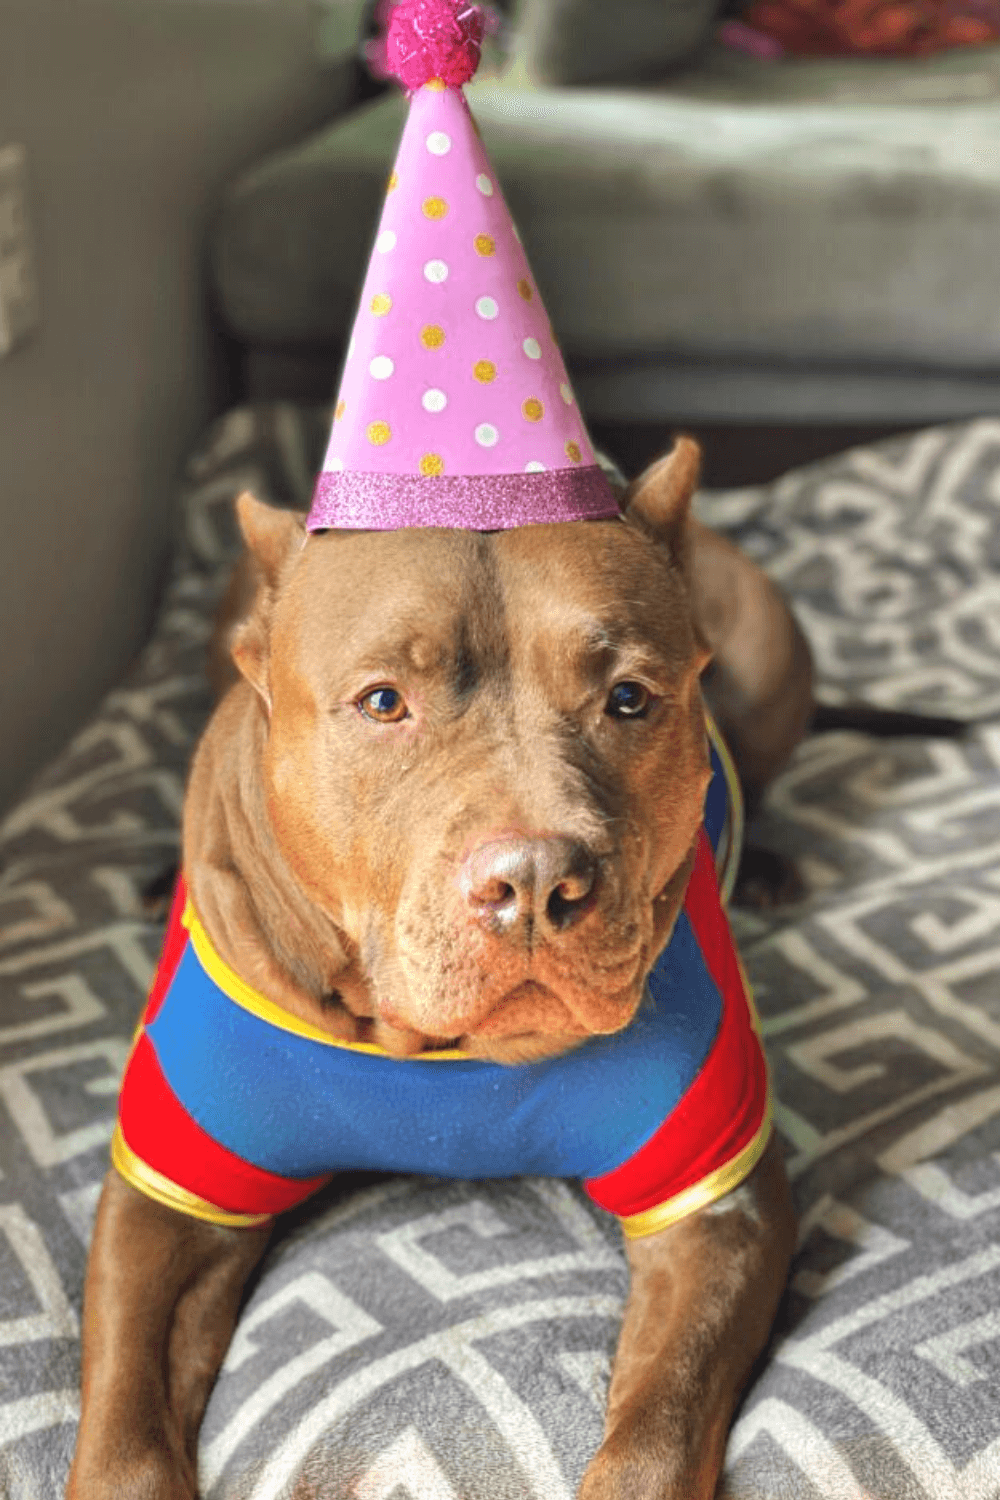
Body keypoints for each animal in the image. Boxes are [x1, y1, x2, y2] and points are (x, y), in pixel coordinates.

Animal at [67, 438, 801, 1500]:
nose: (533, 882)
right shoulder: (169, 1195)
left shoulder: (714, 1204)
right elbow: (125, 1422)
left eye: (628, 698)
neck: (436, 1051)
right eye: (384, 702)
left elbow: (658, 1429)